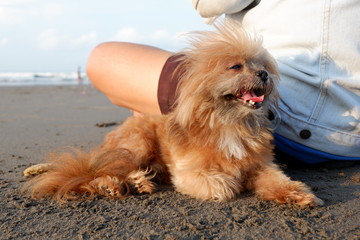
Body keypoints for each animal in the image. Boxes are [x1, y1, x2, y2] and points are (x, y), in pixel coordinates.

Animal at [24, 23, 324, 206]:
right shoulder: (189, 172)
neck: (229, 123)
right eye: (236, 66)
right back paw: (114, 184)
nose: (263, 74)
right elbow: (221, 184)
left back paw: (138, 182)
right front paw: (230, 182)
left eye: (261, 65)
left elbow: (277, 180)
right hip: (137, 144)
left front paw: (296, 194)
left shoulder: (262, 165)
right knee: (108, 169)